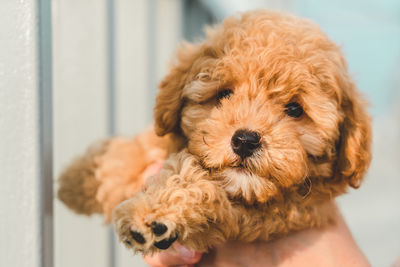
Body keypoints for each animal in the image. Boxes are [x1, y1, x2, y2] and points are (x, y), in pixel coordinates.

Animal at [57, 10, 370, 256]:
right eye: (224, 94)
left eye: (295, 109)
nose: (245, 141)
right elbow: (140, 147)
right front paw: (81, 179)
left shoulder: (275, 215)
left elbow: (199, 186)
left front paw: (153, 214)